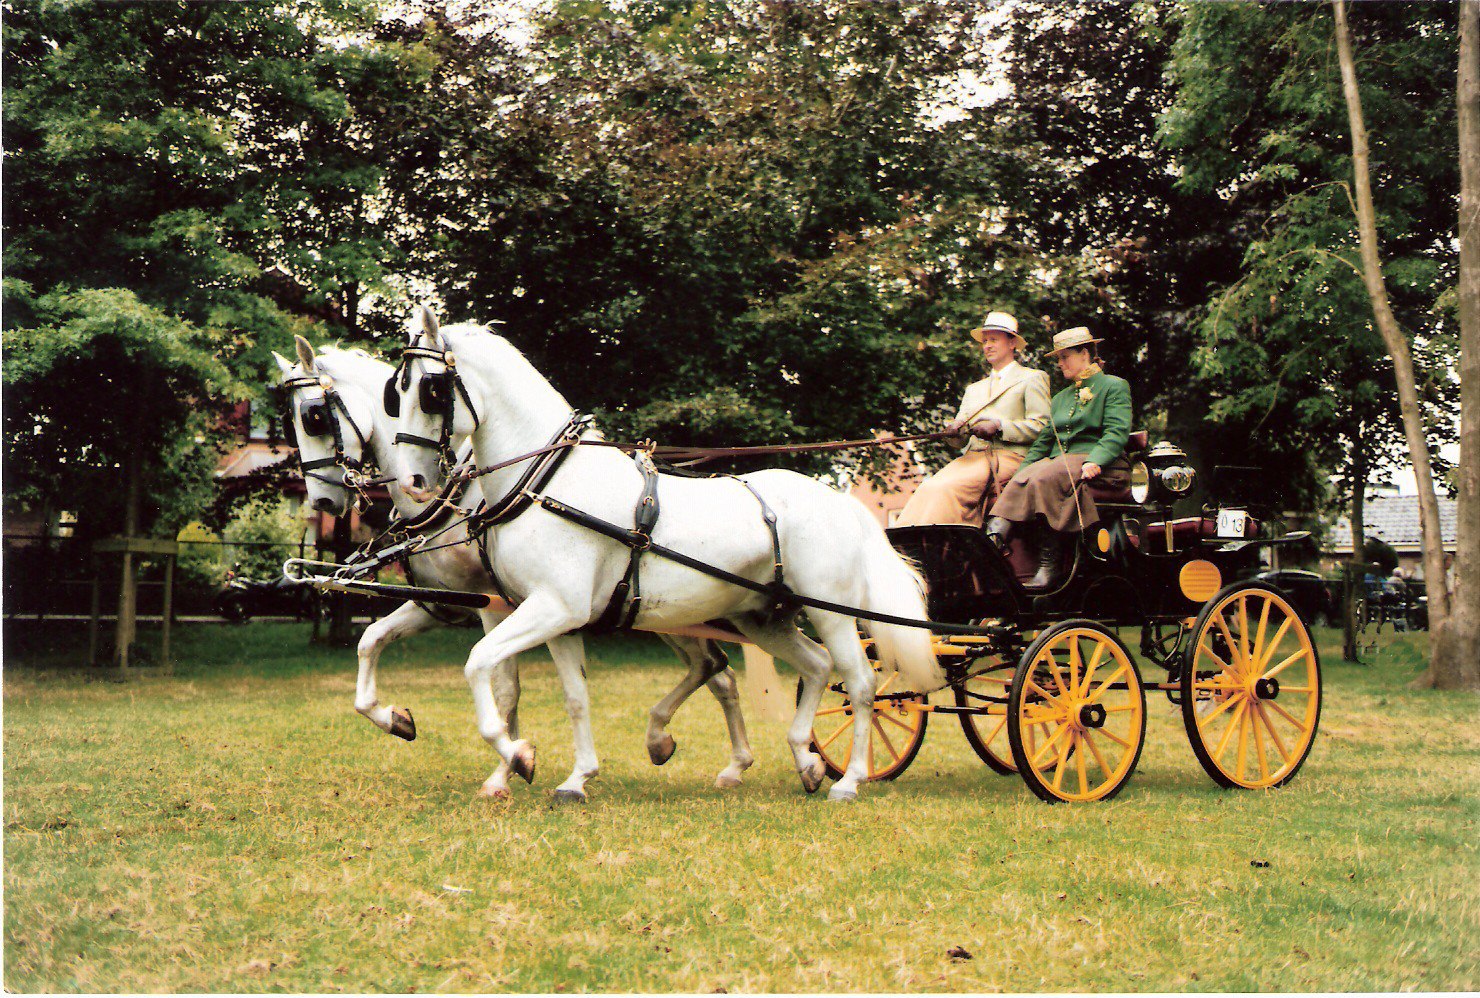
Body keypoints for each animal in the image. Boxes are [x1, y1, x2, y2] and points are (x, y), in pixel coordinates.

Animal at [274, 337, 754, 801]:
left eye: (313, 416)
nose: (322, 501)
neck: (459, 496)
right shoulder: (444, 603)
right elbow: (372, 640)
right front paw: (395, 718)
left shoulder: (495, 604)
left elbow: (505, 688)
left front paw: (507, 767)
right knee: (717, 670)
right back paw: (708, 755)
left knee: (716, 668)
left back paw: (711, 754)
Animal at [389, 307, 944, 801]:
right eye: (398, 389)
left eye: (430, 388)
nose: (413, 481)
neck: (549, 484)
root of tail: (840, 502)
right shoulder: (557, 618)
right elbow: (575, 697)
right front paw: (576, 778)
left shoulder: (554, 607)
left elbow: (478, 663)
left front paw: (519, 755)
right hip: (763, 619)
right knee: (816, 666)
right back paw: (805, 761)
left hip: (831, 612)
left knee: (861, 681)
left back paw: (849, 780)